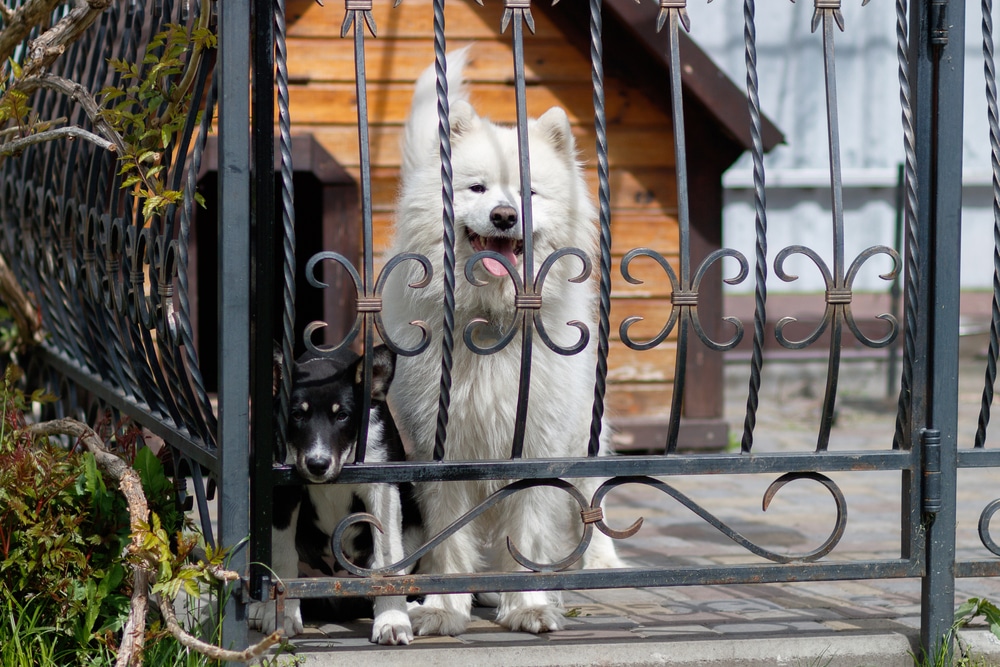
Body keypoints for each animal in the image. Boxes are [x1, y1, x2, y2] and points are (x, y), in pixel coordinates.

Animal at [252, 348, 424, 644]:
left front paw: (392, 621)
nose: (317, 465)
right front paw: (282, 617)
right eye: (297, 415)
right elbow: (283, 556)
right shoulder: (282, 488)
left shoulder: (382, 484)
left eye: (343, 415)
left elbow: (388, 557)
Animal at [382, 49, 624, 640]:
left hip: (584, 427)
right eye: (477, 189)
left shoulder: (536, 441)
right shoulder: (440, 450)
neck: (491, 321)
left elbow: (530, 532)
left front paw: (529, 604)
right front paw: (445, 609)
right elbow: (450, 541)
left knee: (592, 494)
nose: (504, 216)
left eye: (528, 193)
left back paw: (602, 560)